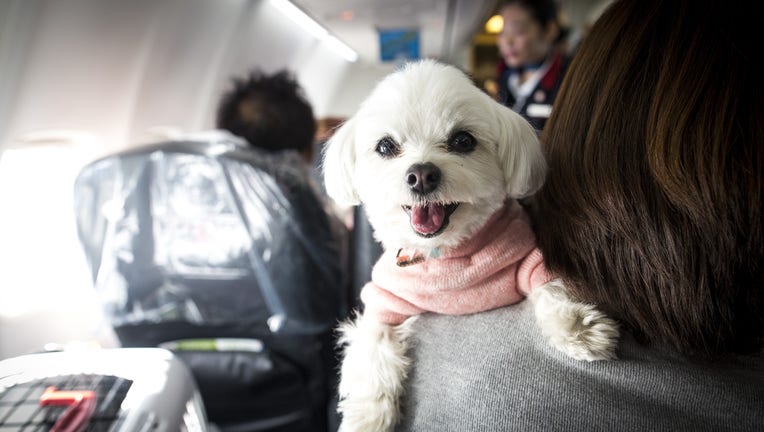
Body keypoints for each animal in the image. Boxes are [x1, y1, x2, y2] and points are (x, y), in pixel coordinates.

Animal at [322, 60, 620, 432]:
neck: (446, 254)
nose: (422, 175)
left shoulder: (526, 255)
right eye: (386, 147)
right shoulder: (384, 300)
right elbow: (372, 349)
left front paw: (579, 328)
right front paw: (368, 417)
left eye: (463, 140)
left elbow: (550, 286)